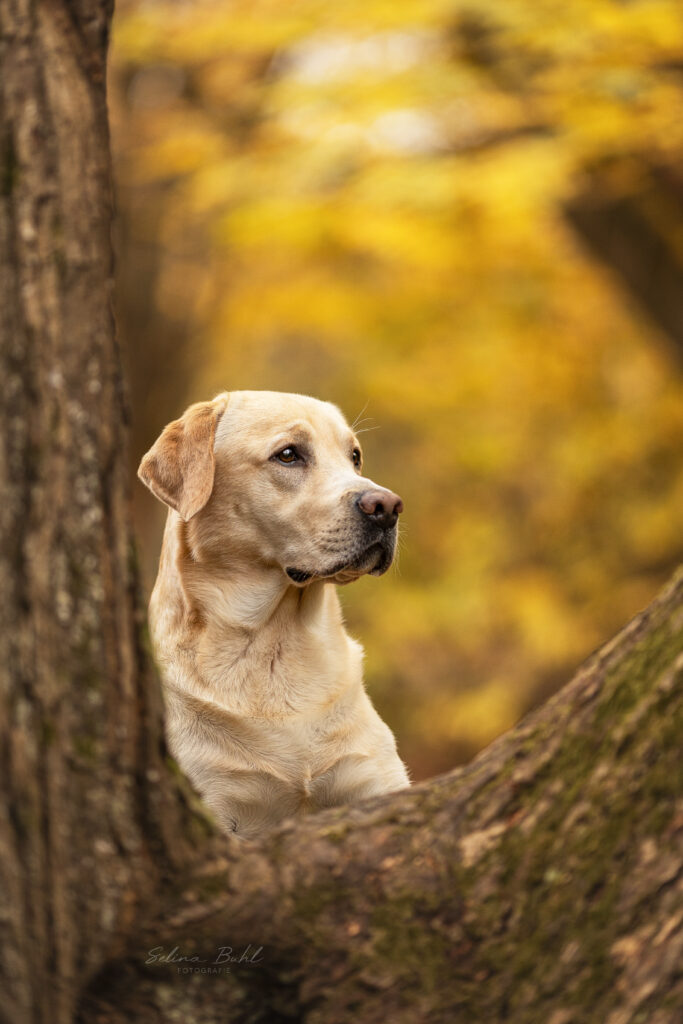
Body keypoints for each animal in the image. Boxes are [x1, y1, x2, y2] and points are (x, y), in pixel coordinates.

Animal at [136, 387, 409, 835]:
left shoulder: (375, 781)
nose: (387, 506)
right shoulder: (214, 802)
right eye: (288, 455)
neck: (275, 646)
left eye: (354, 456)